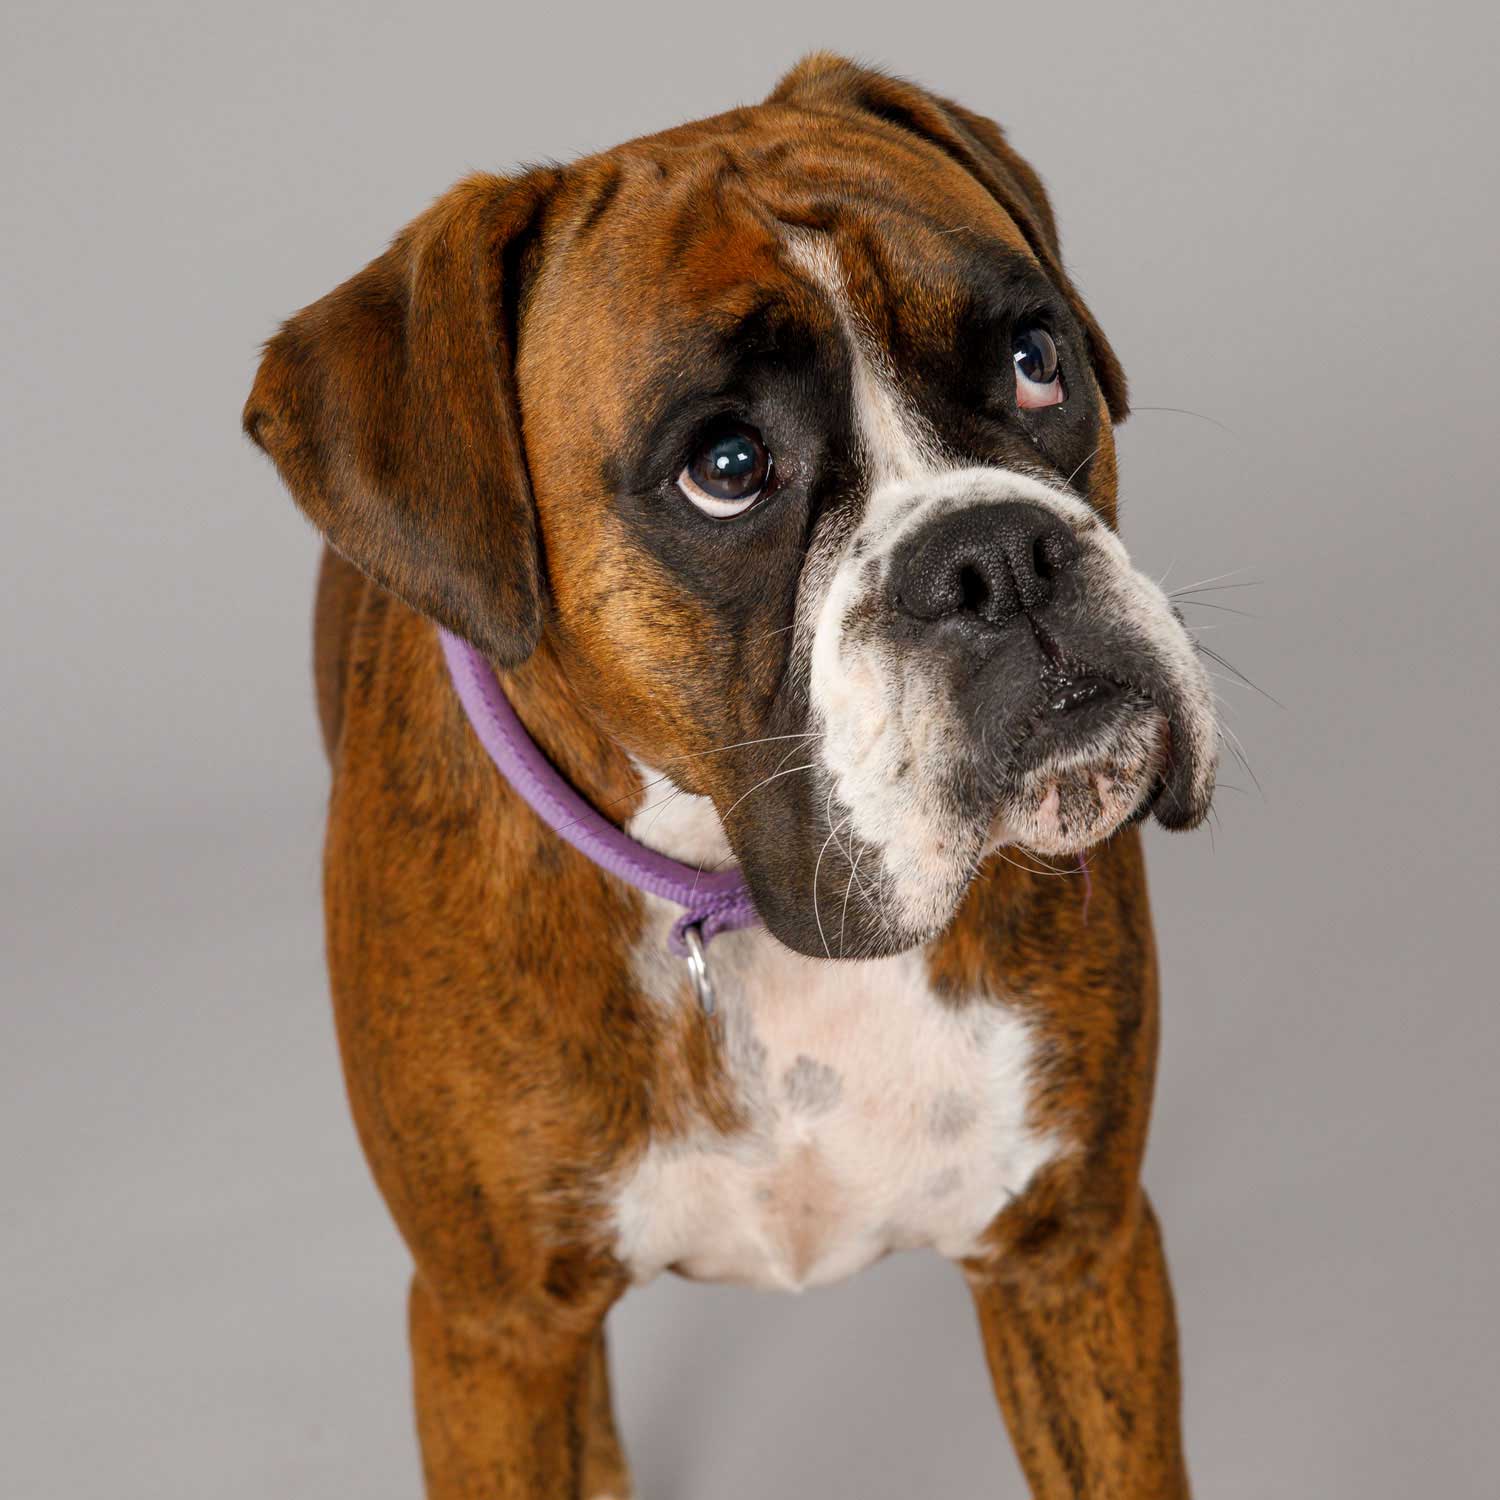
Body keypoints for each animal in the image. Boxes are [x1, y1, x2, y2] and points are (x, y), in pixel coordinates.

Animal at [245, 53, 1217, 1499]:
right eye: (727, 470)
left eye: (1037, 362)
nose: (997, 552)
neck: (750, 920)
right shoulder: (492, 1338)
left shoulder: (1075, 1259)